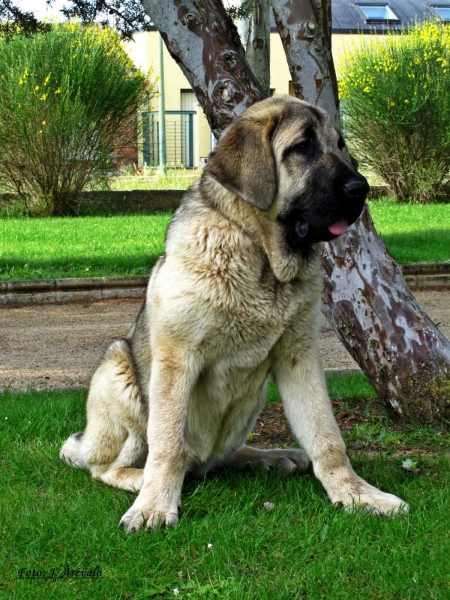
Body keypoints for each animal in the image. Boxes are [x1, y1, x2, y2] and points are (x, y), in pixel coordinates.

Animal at [59, 95, 408, 528]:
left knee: (220, 459)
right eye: (302, 147)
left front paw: (357, 494)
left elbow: (327, 436)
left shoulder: (299, 357)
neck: (258, 251)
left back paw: (270, 457)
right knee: (109, 467)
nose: (361, 188)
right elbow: (168, 443)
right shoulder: (176, 358)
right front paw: (154, 504)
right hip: (117, 367)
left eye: (340, 145)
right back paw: (142, 481)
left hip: (252, 398)